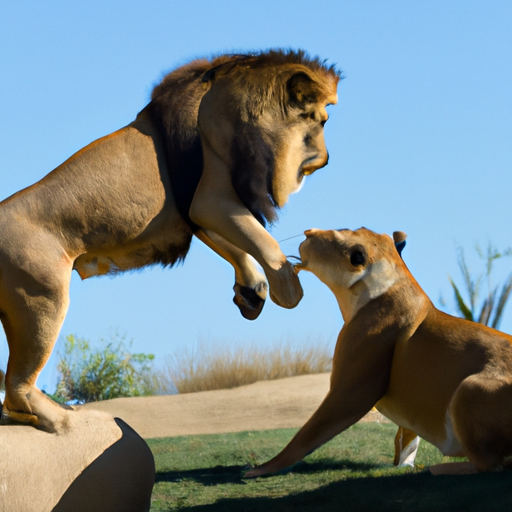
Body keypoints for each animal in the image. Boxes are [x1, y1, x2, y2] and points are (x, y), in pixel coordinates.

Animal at [0, 50, 340, 430]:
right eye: (321, 121)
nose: (325, 161)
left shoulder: (194, 211)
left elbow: (234, 247)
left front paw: (253, 291)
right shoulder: (210, 200)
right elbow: (260, 238)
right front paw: (286, 287)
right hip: (42, 301)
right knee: (16, 387)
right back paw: (63, 420)